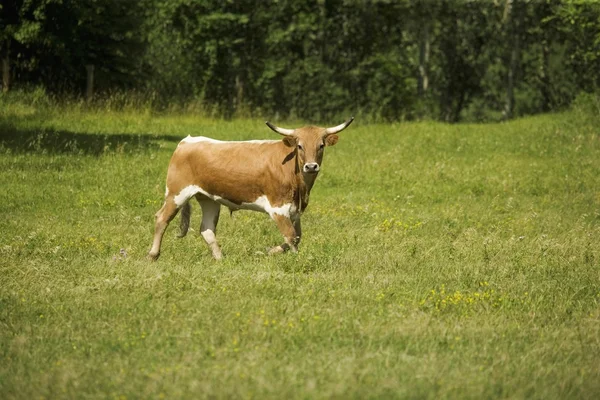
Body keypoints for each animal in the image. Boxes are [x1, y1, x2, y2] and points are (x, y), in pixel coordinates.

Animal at [148, 116, 354, 260]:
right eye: (300, 146)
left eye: (321, 145)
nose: (311, 167)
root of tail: (186, 141)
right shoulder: (278, 208)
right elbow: (291, 236)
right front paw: (297, 259)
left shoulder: (294, 211)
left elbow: (297, 236)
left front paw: (270, 251)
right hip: (176, 193)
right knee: (162, 218)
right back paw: (153, 255)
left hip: (209, 198)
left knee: (207, 229)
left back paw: (220, 259)